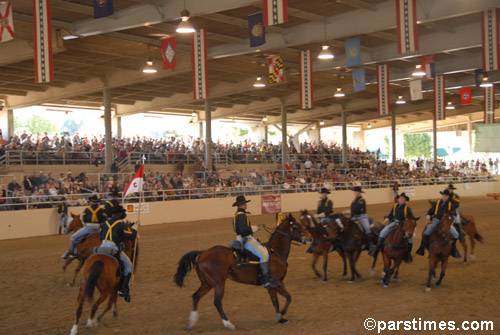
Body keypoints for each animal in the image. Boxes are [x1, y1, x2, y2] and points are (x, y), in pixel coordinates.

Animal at [172, 214, 304, 332]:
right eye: (297, 226)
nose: (306, 239)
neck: (275, 252)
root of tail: (203, 253)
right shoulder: (276, 283)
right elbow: (287, 298)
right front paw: (281, 315)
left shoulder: (274, 285)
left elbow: (277, 300)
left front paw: (281, 318)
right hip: (218, 283)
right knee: (217, 302)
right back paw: (229, 324)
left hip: (207, 283)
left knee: (196, 296)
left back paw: (191, 323)